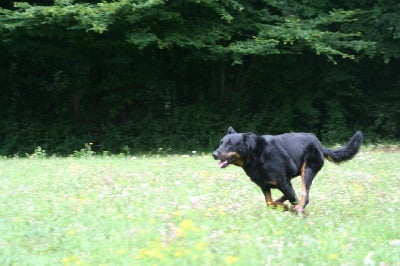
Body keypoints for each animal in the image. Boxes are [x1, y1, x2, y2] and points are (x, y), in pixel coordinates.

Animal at [212, 125, 362, 215]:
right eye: (221, 143)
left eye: (230, 144)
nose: (214, 154)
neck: (255, 155)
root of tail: (319, 144)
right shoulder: (264, 186)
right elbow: (270, 202)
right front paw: (282, 206)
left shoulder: (283, 182)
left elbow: (293, 199)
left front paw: (297, 211)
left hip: (307, 171)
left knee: (305, 196)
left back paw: (298, 208)